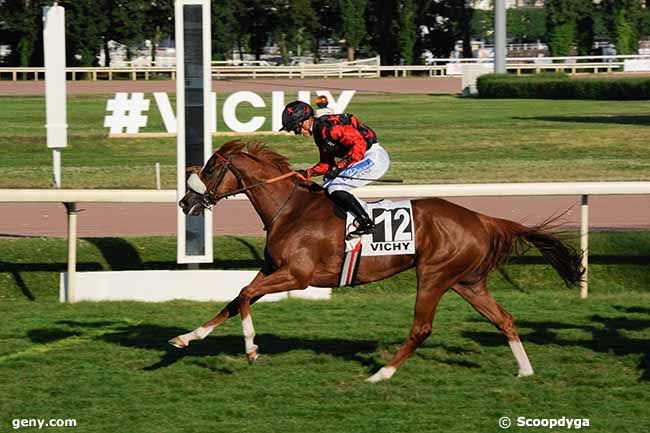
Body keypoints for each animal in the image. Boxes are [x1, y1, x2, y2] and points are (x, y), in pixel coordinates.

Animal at [168, 142, 584, 382]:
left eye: (210, 169)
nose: (185, 202)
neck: (290, 209)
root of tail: (482, 219)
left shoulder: (297, 275)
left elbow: (243, 293)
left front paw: (252, 349)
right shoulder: (273, 268)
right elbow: (236, 298)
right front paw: (186, 337)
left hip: (434, 274)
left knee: (421, 328)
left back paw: (381, 374)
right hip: (467, 281)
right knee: (504, 319)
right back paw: (525, 370)